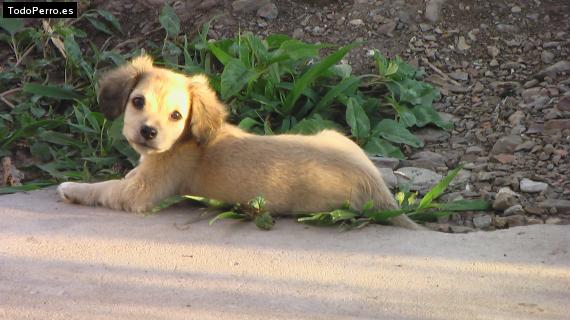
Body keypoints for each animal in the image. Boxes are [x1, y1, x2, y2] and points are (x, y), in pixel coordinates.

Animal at [57, 55, 420, 230]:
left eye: (176, 115)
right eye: (137, 101)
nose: (148, 132)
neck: (187, 140)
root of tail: (376, 189)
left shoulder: (139, 194)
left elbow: (104, 187)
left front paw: (72, 187)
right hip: (334, 136)